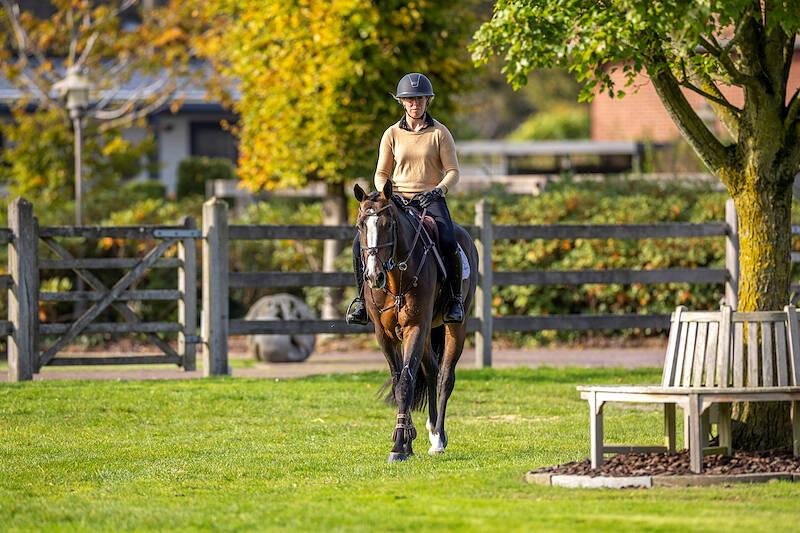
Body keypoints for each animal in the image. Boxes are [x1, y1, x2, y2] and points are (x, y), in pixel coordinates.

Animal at [353, 180, 478, 463]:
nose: (373, 276)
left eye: (389, 224)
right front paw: (406, 438)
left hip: (455, 326)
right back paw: (432, 430)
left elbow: (406, 383)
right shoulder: (384, 334)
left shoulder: (415, 327)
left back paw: (439, 439)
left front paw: (400, 445)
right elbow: (400, 379)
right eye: (361, 225)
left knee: (445, 377)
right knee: (431, 369)